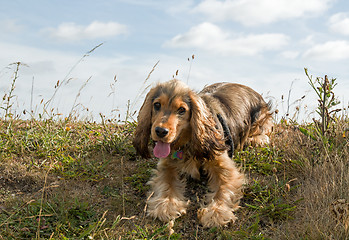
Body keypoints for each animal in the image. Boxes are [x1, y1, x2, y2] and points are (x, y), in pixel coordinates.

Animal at [133, 79, 272, 227]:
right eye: (157, 105)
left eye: (182, 110)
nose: (160, 131)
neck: (188, 142)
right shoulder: (167, 165)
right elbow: (166, 183)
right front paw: (166, 206)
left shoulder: (225, 167)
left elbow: (223, 190)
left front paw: (216, 213)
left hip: (260, 118)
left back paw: (258, 139)